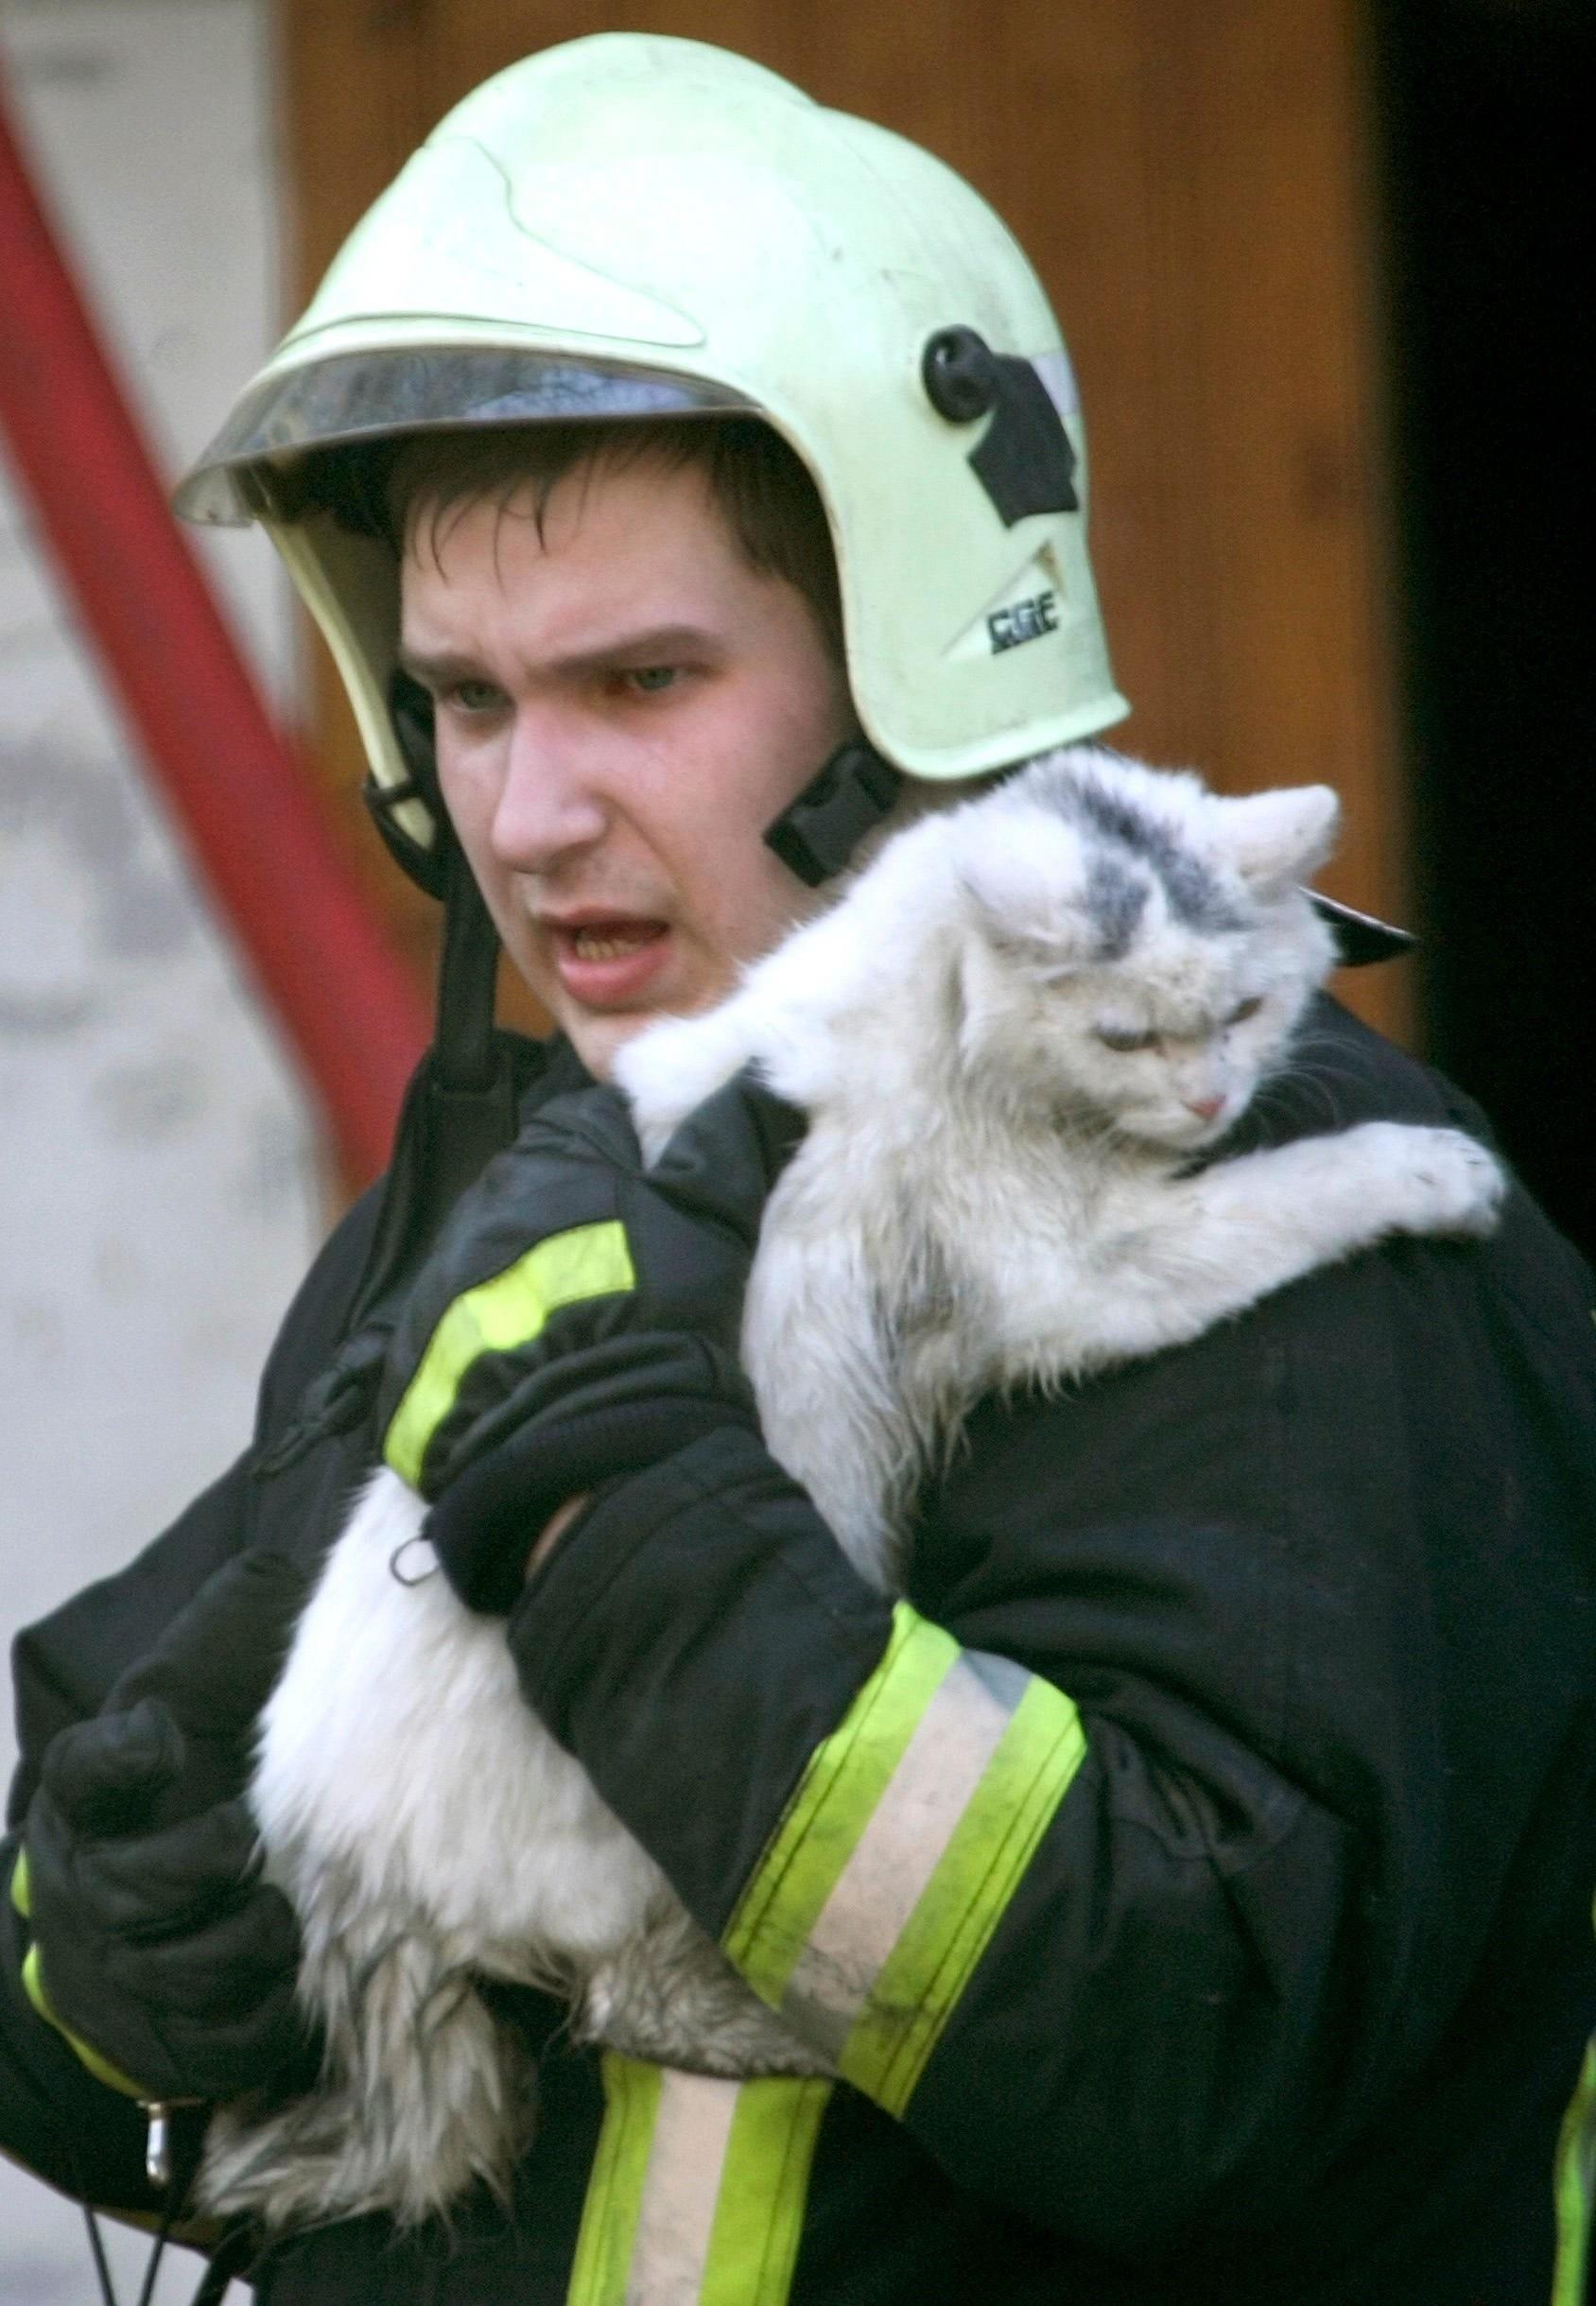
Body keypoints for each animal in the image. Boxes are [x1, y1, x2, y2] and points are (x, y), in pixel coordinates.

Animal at [196, 755, 1494, 2231]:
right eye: (1124, 1037)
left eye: (1242, 1012)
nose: (1213, 1105)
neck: (940, 998)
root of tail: (326, 1862)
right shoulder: (1073, 1265)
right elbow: (1287, 1193)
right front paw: (1435, 1167)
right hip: (646, 1845)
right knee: (634, 2001)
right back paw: (794, 2047)